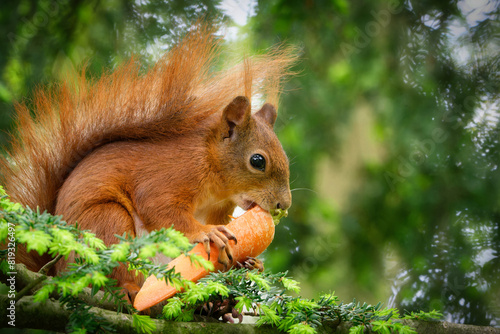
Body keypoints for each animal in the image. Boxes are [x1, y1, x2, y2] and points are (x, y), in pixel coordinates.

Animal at [0, 24, 294, 298]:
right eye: (258, 161)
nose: (283, 205)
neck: (214, 178)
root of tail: (56, 271)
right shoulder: (169, 175)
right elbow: (160, 209)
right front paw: (207, 232)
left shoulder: (220, 208)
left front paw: (249, 262)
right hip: (105, 225)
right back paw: (129, 289)